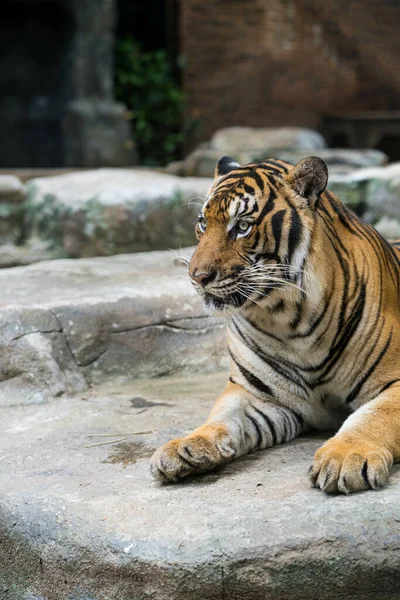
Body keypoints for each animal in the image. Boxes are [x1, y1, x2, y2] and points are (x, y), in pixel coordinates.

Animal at [149, 154, 400, 492]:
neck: (289, 321)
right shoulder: (255, 394)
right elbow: (222, 417)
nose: (197, 277)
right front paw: (186, 447)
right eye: (203, 223)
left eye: (242, 226)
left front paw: (346, 456)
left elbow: (376, 415)